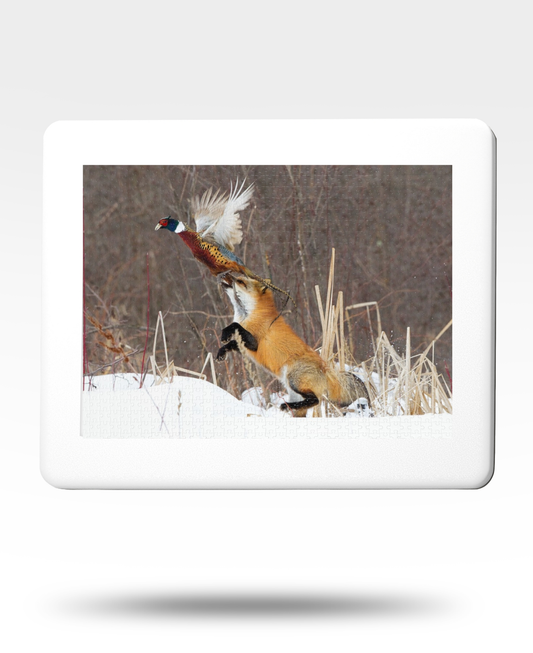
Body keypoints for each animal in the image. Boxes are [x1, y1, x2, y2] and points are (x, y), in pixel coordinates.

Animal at [216, 273, 371, 417]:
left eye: (240, 281)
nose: (225, 273)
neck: (247, 315)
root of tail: (328, 370)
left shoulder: (254, 343)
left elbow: (234, 326)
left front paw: (224, 334)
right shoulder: (243, 345)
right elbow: (230, 343)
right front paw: (221, 353)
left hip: (294, 380)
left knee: (315, 399)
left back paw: (286, 406)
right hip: (295, 395)